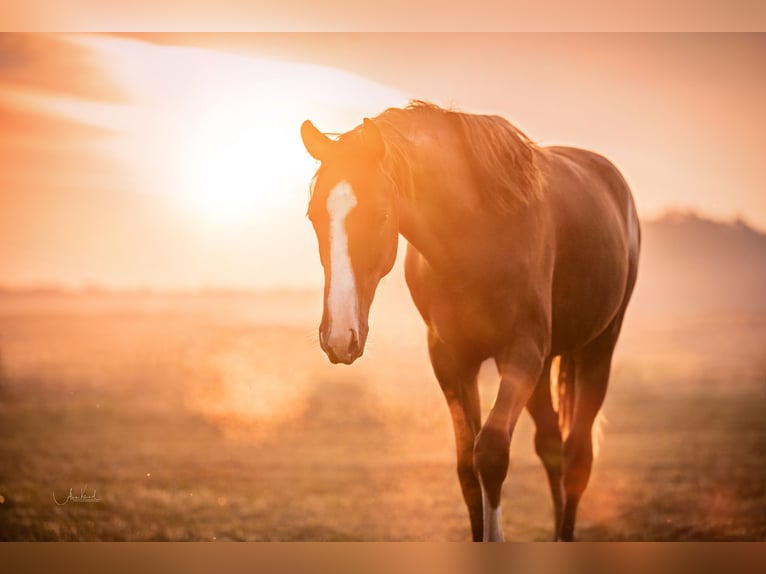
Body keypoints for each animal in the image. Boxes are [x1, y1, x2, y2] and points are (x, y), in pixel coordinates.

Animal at [300, 101, 640, 544]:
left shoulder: (521, 354)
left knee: (577, 456)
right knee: (551, 446)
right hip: (544, 368)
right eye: (313, 216)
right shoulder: (451, 361)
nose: (340, 337)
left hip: (598, 349)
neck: (475, 237)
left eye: (380, 214)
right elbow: (466, 467)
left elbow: (491, 453)